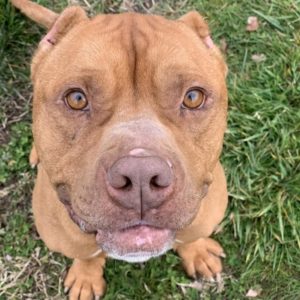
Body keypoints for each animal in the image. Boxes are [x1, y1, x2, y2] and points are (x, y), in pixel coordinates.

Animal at [11, 1, 227, 298]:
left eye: (193, 97)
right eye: (76, 98)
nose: (140, 176)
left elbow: (190, 236)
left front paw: (197, 251)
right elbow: (86, 256)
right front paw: (86, 276)